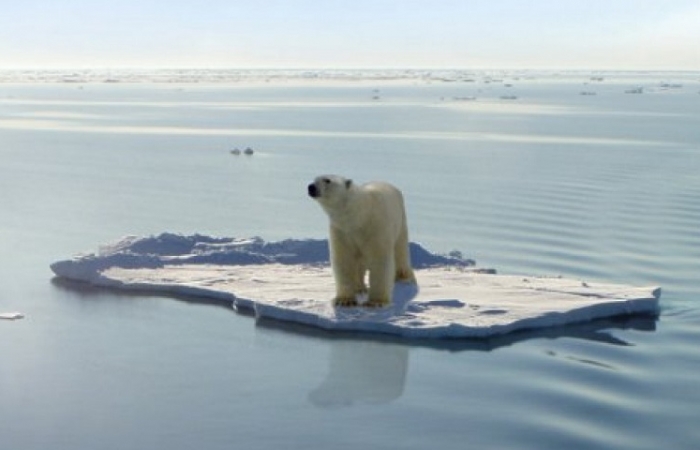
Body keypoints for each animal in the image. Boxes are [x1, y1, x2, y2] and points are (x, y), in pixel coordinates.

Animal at [306, 174, 416, 308]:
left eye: (327, 180)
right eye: (314, 179)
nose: (311, 187)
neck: (359, 215)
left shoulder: (375, 227)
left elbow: (379, 260)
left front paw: (376, 302)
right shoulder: (342, 231)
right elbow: (344, 259)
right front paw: (345, 300)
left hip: (400, 221)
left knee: (400, 251)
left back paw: (404, 277)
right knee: (360, 262)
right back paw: (359, 288)